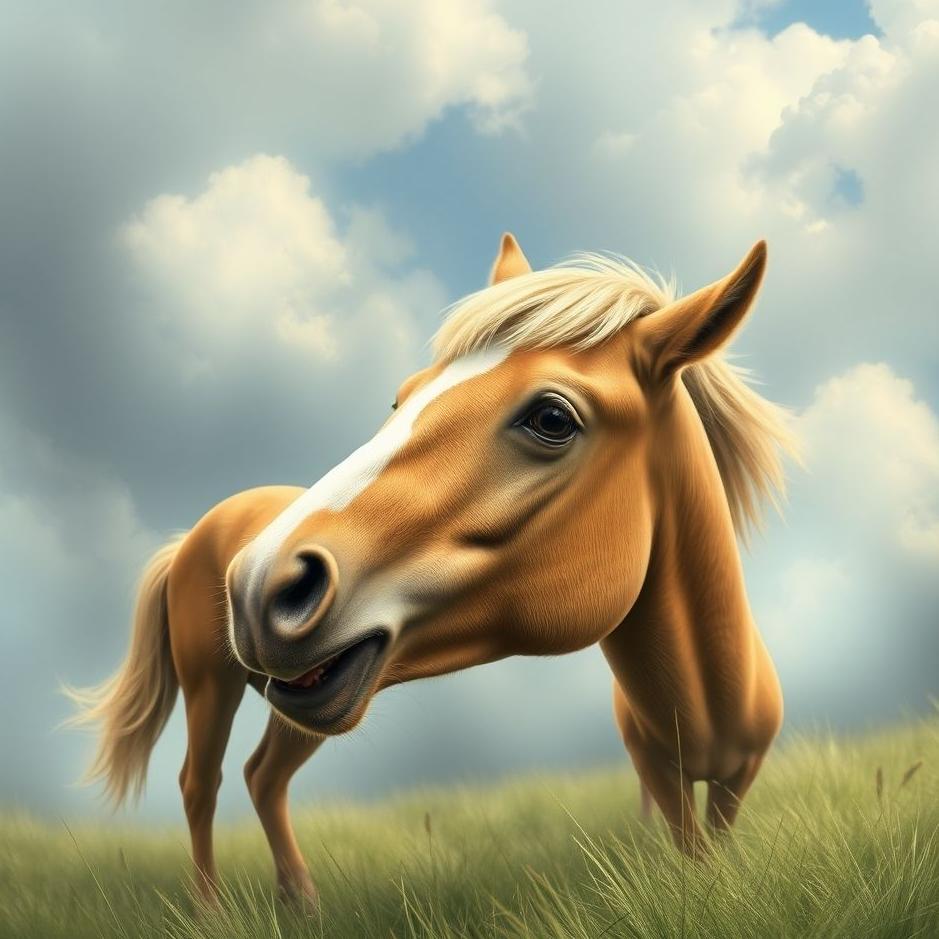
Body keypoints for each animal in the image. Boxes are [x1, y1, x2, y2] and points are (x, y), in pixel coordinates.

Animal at [68, 232, 795, 906]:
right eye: (403, 399)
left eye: (552, 418)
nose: (255, 586)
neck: (708, 697)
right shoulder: (660, 773)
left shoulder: (734, 779)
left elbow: (709, 846)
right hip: (211, 685)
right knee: (201, 783)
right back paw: (211, 911)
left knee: (263, 776)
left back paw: (300, 902)